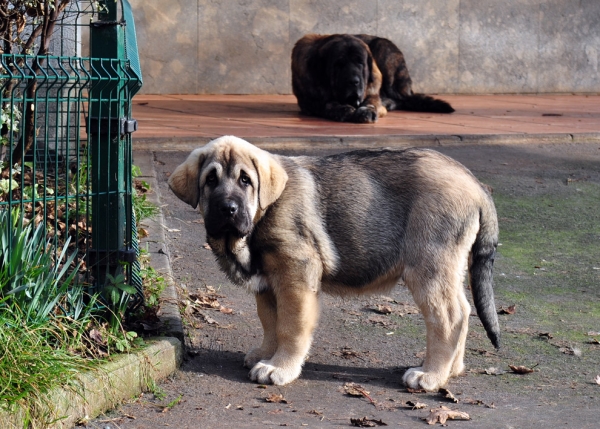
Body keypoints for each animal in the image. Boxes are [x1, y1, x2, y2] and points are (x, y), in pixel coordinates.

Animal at [166, 135, 500, 390]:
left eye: (245, 180)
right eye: (210, 180)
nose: (228, 209)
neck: (263, 215)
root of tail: (475, 185)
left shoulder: (296, 278)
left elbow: (290, 327)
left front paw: (280, 367)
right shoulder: (268, 285)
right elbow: (270, 323)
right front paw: (265, 354)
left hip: (428, 267)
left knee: (449, 317)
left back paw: (430, 375)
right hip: (448, 268)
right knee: (464, 311)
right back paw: (451, 369)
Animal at [292, 33, 454, 122]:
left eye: (360, 63)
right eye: (338, 64)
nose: (354, 81)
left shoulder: (372, 92)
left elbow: (372, 102)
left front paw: (367, 110)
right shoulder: (308, 101)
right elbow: (327, 104)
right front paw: (342, 109)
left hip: (383, 49)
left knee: (403, 99)